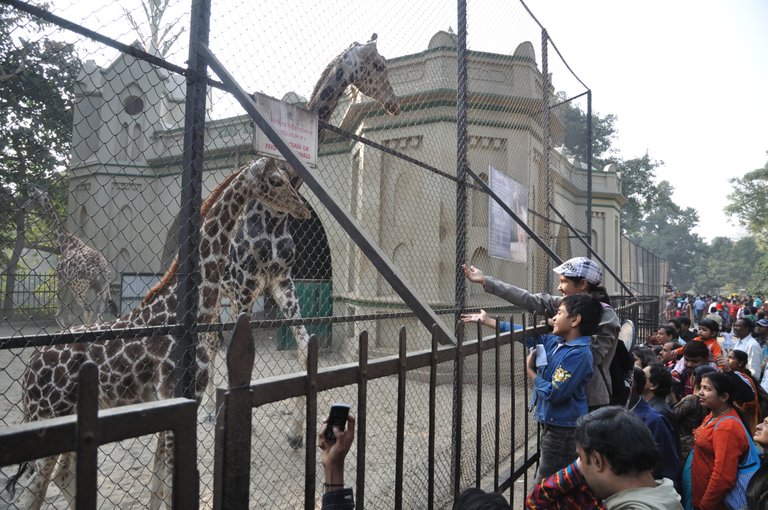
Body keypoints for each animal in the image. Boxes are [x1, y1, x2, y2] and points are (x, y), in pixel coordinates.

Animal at [21, 187, 118, 326]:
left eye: (31, 197)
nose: (23, 208)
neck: (65, 244)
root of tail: (101, 270)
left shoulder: (62, 279)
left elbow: (60, 310)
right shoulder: (70, 283)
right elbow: (71, 313)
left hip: (80, 288)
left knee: (87, 311)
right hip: (101, 289)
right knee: (99, 315)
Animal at [210, 33, 402, 446]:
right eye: (379, 65)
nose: (394, 104)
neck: (273, 211)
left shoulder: (283, 283)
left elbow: (303, 353)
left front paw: (296, 432)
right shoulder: (248, 286)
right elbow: (240, 364)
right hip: (220, 292)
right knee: (210, 341)